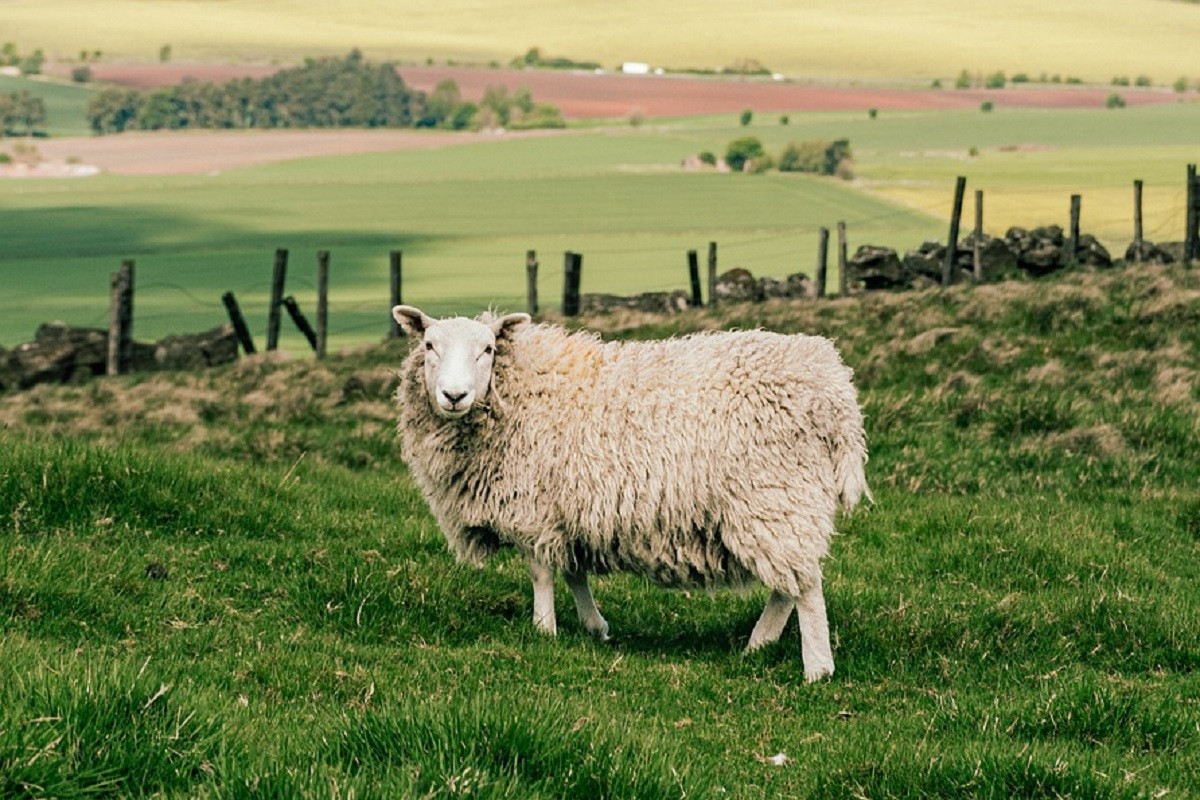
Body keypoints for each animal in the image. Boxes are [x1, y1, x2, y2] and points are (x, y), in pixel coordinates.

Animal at [393, 307, 873, 681]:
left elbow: (541, 573)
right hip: (782, 503)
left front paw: (544, 629)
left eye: (488, 350)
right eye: (430, 345)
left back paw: (817, 668)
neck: (522, 390)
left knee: (806, 586)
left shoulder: (533, 507)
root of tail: (834, 390)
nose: (454, 395)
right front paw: (594, 626)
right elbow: (574, 571)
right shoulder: (569, 508)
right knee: (791, 582)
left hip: (776, 494)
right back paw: (760, 643)